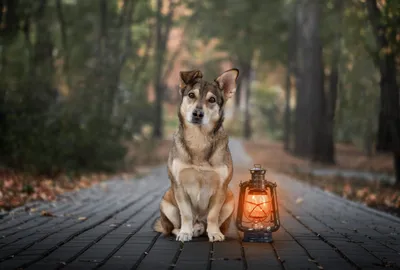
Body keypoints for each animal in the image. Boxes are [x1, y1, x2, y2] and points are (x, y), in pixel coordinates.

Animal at [154, 68, 239, 242]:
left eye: (212, 99)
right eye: (191, 95)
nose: (197, 114)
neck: (199, 138)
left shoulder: (221, 188)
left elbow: (213, 215)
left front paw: (214, 233)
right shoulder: (179, 185)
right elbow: (186, 214)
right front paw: (185, 233)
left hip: (231, 198)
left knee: (208, 223)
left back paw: (203, 229)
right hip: (166, 203)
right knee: (171, 228)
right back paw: (189, 230)